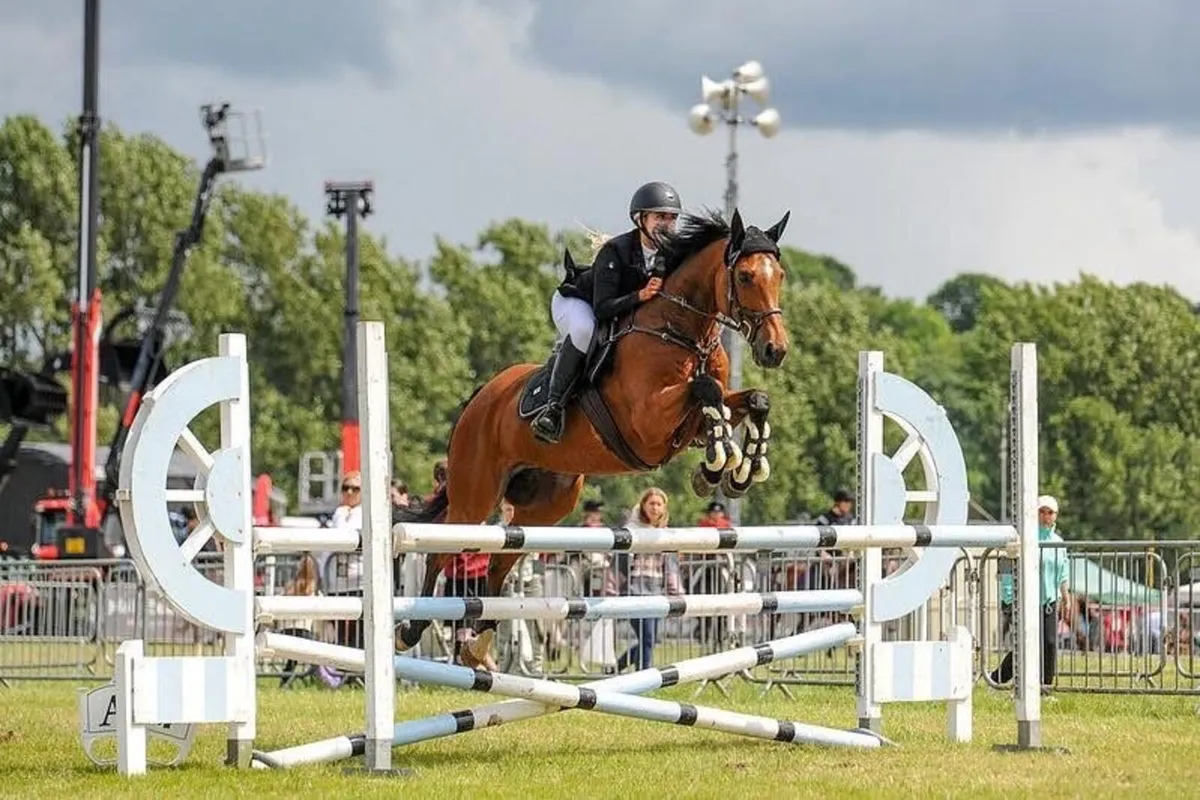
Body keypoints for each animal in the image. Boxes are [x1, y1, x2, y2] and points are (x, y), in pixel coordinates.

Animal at [395, 207, 792, 668]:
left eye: (779, 274)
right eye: (745, 276)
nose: (775, 351)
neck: (678, 330)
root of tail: (481, 397)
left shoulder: (690, 418)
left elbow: (752, 400)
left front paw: (738, 470)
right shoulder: (649, 422)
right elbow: (706, 391)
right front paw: (718, 463)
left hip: (546, 507)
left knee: (499, 562)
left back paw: (479, 643)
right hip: (474, 495)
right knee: (441, 548)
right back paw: (411, 630)